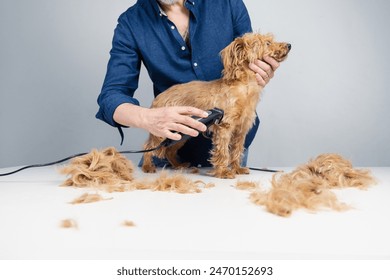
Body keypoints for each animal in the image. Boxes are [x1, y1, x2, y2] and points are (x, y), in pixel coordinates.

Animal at [142, 32, 290, 177]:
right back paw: (147, 166)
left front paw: (237, 168)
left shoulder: (241, 130)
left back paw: (178, 165)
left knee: (169, 151)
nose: (289, 45)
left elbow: (237, 150)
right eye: (268, 43)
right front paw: (223, 172)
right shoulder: (224, 127)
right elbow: (223, 151)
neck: (245, 87)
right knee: (148, 147)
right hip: (164, 131)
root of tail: (159, 98)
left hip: (182, 133)